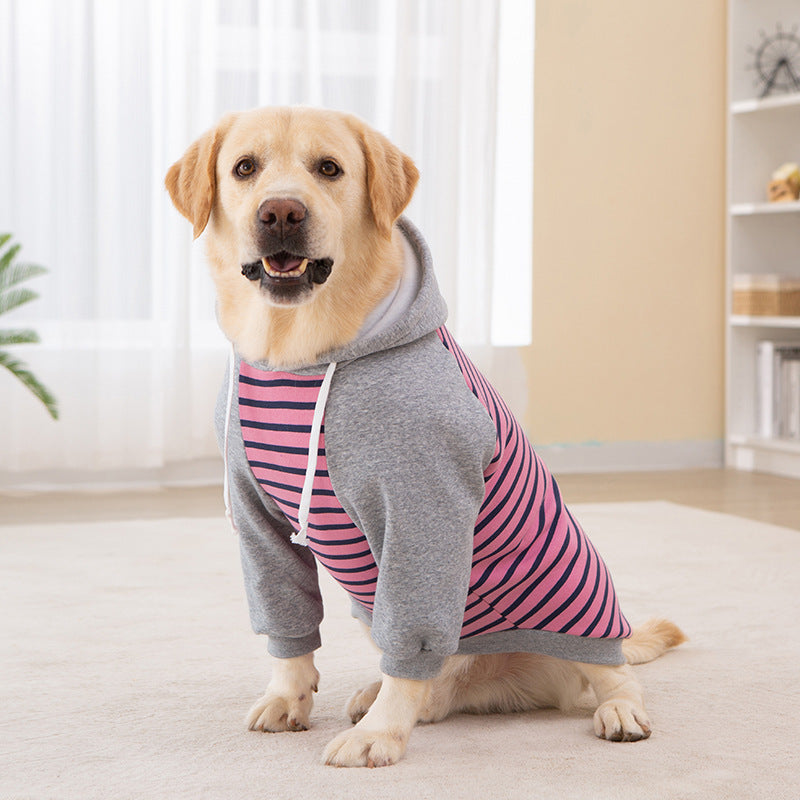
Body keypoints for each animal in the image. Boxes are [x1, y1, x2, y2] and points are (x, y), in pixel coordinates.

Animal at [166, 108, 684, 768]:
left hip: (578, 602)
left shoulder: (421, 510)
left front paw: (379, 736)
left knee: (611, 670)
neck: (300, 358)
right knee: (438, 687)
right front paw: (289, 697)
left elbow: (410, 639)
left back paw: (619, 710)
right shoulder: (256, 517)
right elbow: (288, 627)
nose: (280, 212)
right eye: (244, 168)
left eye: (329, 168)